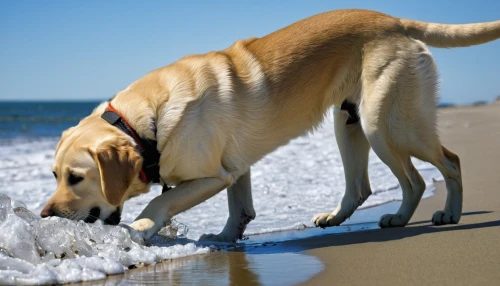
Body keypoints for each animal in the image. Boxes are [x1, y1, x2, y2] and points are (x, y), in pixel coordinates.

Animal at [40, 9, 500, 241]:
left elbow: (159, 202)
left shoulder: (214, 175)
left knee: (438, 168)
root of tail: (394, 20)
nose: (45, 216)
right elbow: (239, 207)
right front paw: (225, 237)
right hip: (348, 123)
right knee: (362, 187)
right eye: (54, 175)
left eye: (76, 178)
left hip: (386, 125)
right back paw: (338, 217)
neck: (144, 122)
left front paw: (141, 226)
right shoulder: (235, 167)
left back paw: (435, 214)